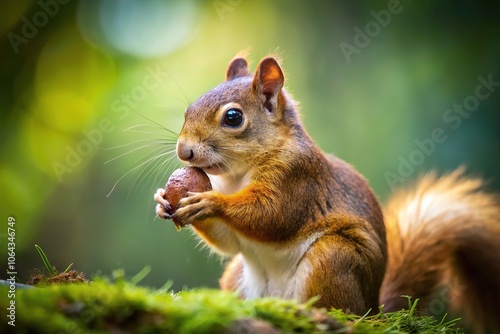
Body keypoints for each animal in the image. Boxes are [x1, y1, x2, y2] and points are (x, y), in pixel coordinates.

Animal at [153, 54, 500, 332]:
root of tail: (375, 308)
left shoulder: (298, 180)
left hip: (333, 258)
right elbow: (229, 241)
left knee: (341, 309)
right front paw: (162, 201)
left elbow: (271, 216)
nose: (184, 151)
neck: (238, 174)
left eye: (233, 117)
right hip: (239, 275)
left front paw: (209, 202)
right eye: (188, 110)